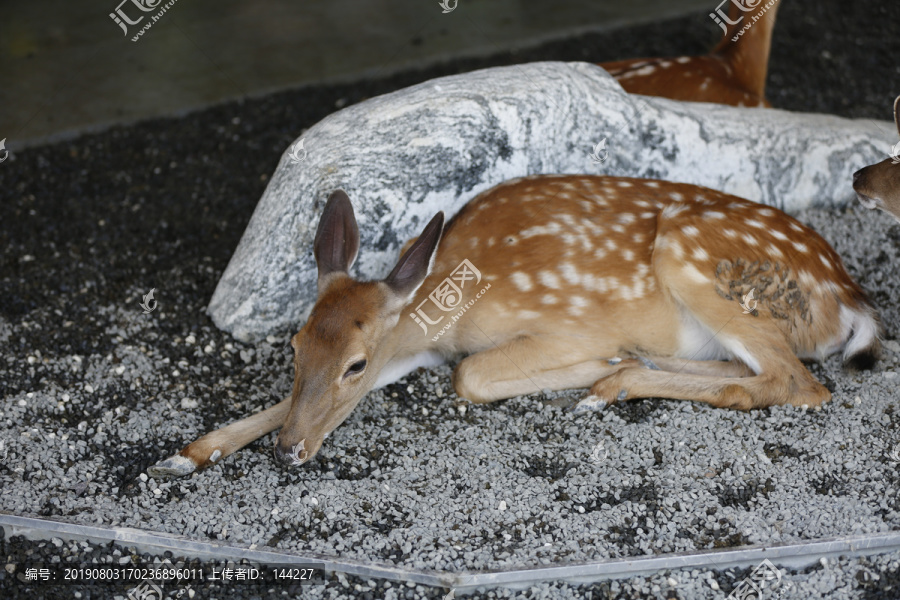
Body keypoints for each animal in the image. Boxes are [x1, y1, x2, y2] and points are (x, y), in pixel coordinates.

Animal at [151, 176, 884, 476]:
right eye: (296, 344)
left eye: (355, 362)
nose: (290, 453)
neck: (443, 311)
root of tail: (850, 297)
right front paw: (188, 453)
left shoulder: (564, 328)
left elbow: (470, 375)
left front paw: (599, 366)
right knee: (756, 370)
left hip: (692, 259)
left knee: (797, 382)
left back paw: (610, 382)